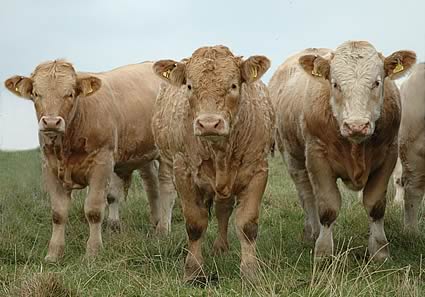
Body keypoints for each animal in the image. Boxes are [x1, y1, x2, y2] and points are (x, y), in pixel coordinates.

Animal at [4, 60, 174, 262]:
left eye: (70, 93)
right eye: (36, 94)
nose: (51, 122)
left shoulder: (102, 163)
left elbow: (93, 210)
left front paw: (93, 252)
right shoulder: (50, 167)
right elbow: (58, 213)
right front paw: (53, 254)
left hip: (166, 153)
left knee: (166, 189)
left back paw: (163, 230)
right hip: (144, 154)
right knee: (151, 186)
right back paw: (155, 223)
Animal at [151, 45, 274, 280]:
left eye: (233, 85)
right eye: (190, 86)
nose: (209, 124)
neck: (220, 153)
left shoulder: (257, 171)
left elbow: (247, 225)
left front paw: (250, 272)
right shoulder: (183, 172)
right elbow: (195, 224)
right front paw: (193, 271)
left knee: (223, 210)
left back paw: (221, 246)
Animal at [268, 41, 414, 260]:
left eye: (377, 82)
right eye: (335, 84)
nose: (356, 125)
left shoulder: (389, 154)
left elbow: (375, 206)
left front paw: (380, 250)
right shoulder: (317, 157)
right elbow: (328, 208)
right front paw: (323, 252)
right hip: (292, 157)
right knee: (307, 196)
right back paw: (312, 232)